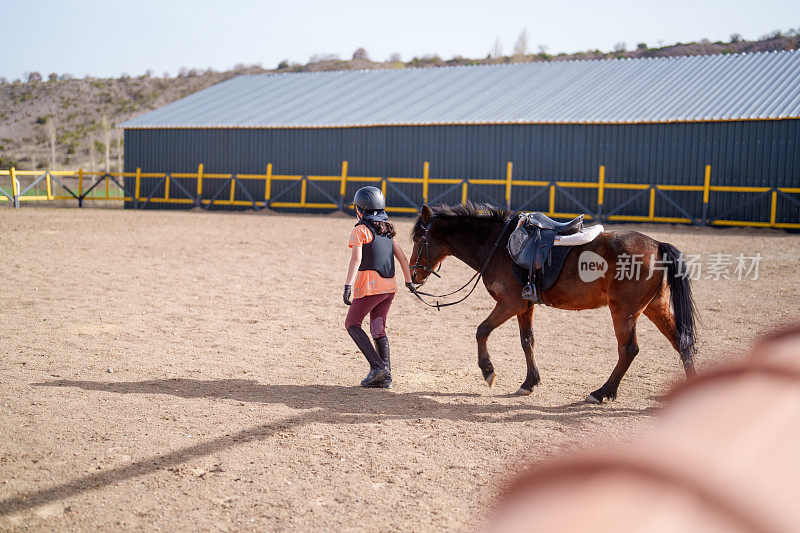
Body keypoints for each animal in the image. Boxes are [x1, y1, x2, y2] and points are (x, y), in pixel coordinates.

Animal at [410, 202, 696, 402]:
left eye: (417, 239)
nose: (412, 275)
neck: (498, 245)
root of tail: (656, 244)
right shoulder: (524, 306)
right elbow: (527, 342)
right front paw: (529, 382)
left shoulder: (509, 304)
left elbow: (482, 331)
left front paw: (488, 371)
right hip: (655, 307)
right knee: (682, 342)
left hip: (624, 311)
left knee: (629, 350)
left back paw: (602, 392)